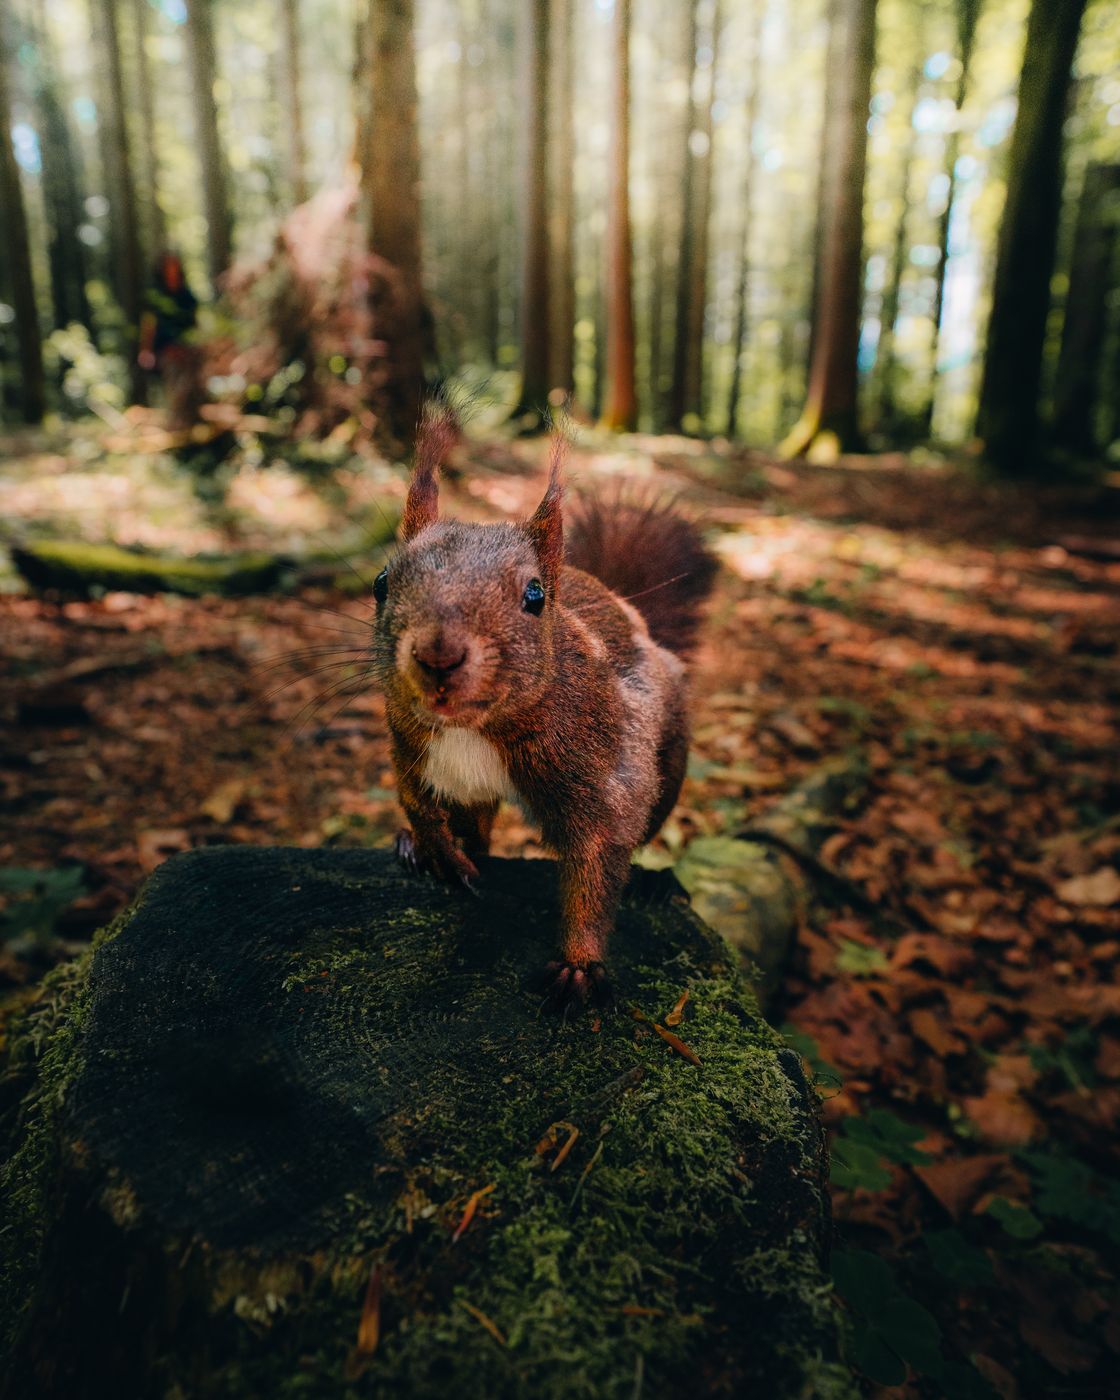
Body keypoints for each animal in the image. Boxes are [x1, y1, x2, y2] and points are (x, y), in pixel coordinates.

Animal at [373, 412, 717, 1012]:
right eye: (380, 583)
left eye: (534, 596)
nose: (438, 656)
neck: (476, 729)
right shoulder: (411, 746)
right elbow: (419, 804)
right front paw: (433, 850)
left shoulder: (605, 769)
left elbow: (598, 857)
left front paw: (579, 965)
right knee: (477, 827)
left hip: (670, 759)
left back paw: (653, 883)